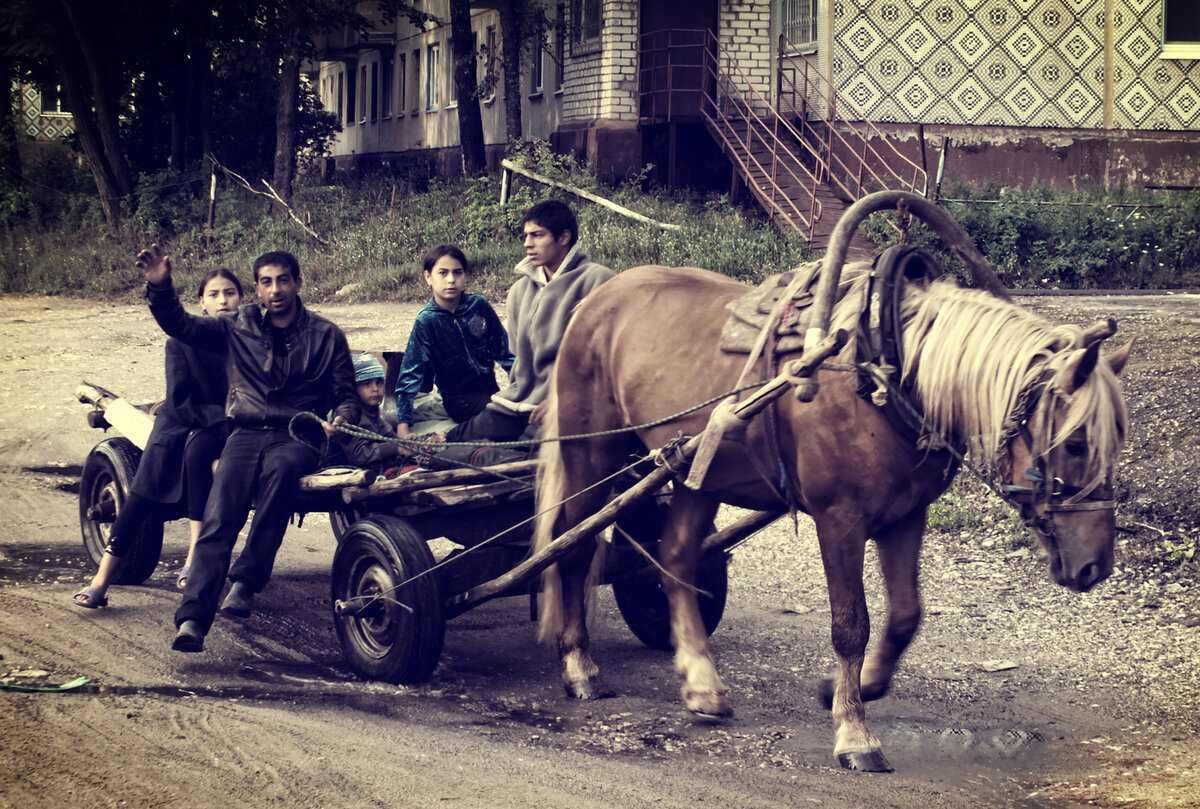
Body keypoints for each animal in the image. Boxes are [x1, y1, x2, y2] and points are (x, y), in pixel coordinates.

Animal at [530, 190, 1128, 768]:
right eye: (1076, 443)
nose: (1094, 566)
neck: (884, 371)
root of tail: (596, 300)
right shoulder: (839, 518)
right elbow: (851, 624)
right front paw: (854, 732)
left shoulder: (906, 515)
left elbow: (905, 615)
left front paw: (854, 688)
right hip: (592, 452)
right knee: (573, 545)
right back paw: (579, 665)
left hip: (702, 468)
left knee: (676, 555)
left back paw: (702, 685)